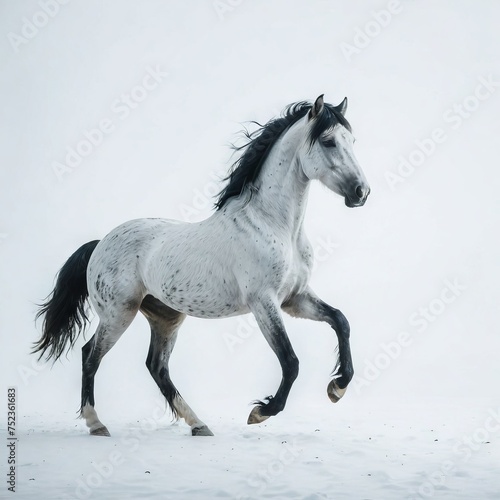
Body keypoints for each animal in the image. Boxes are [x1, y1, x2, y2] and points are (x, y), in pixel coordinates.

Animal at [34, 94, 368, 438]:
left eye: (352, 141)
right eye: (328, 141)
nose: (361, 192)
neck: (274, 226)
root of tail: (100, 243)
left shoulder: (295, 298)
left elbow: (341, 321)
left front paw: (337, 387)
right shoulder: (264, 302)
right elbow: (291, 361)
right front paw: (261, 412)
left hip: (166, 317)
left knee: (157, 367)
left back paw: (199, 424)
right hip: (118, 313)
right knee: (91, 355)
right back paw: (97, 424)